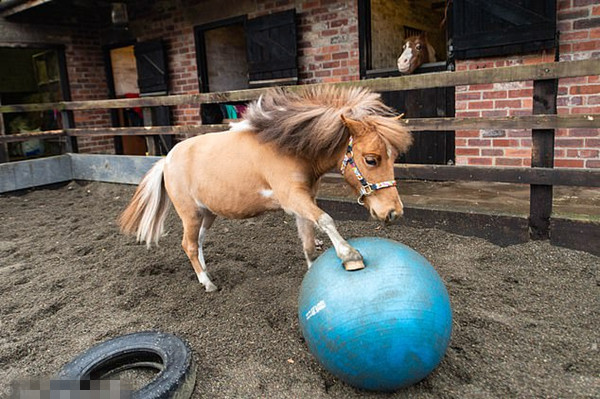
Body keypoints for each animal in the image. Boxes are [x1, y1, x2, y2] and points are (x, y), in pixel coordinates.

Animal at [120, 87, 412, 292]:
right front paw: (350, 256)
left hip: (208, 213)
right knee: (188, 245)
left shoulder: (304, 201)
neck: (286, 146)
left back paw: (205, 273)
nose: (394, 212)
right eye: (371, 159)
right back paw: (208, 283)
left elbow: (308, 243)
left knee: (198, 243)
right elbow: (327, 220)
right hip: (190, 214)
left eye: (394, 157)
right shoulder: (293, 198)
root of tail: (166, 160)